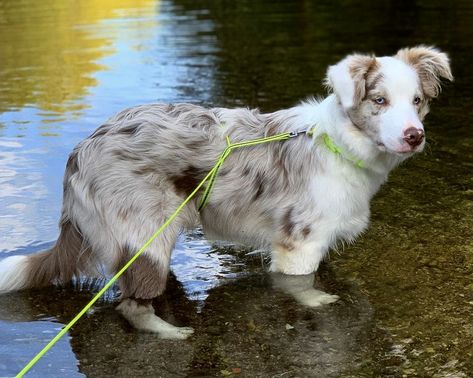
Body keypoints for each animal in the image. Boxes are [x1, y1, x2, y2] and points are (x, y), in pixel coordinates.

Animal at [0, 45, 452, 338]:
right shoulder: (300, 245)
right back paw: (170, 331)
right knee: (130, 304)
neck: (338, 143)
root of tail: (80, 151)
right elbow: (302, 286)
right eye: (379, 100)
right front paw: (318, 301)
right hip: (144, 236)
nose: (414, 136)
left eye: (417, 101)